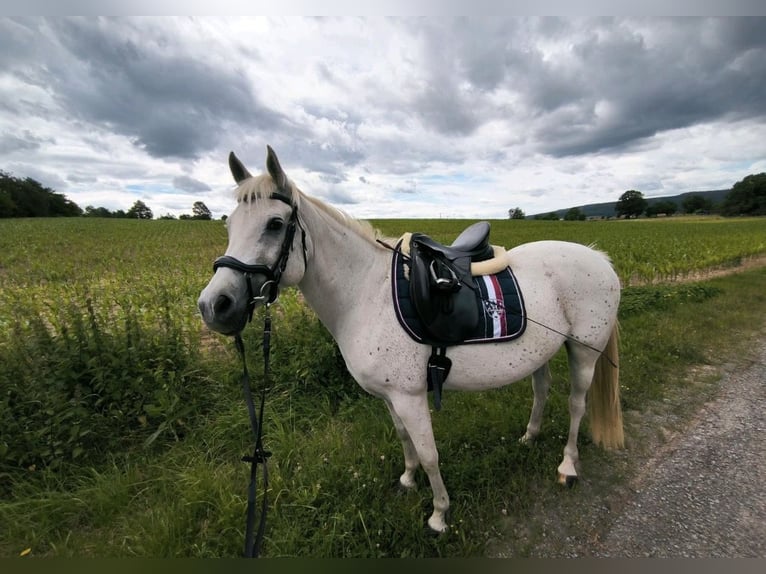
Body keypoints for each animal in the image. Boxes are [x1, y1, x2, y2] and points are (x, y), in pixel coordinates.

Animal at [198, 146, 624, 533]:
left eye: (274, 223)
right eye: (229, 226)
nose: (214, 305)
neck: (366, 292)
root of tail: (600, 258)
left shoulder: (410, 396)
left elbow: (430, 453)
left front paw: (439, 514)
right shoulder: (390, 397)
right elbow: (404, 439)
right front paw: (407, 480)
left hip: (584, 352)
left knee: (576, 404)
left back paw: (567, 465)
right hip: (541, 351)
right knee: (541, 389)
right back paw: (529, 436)